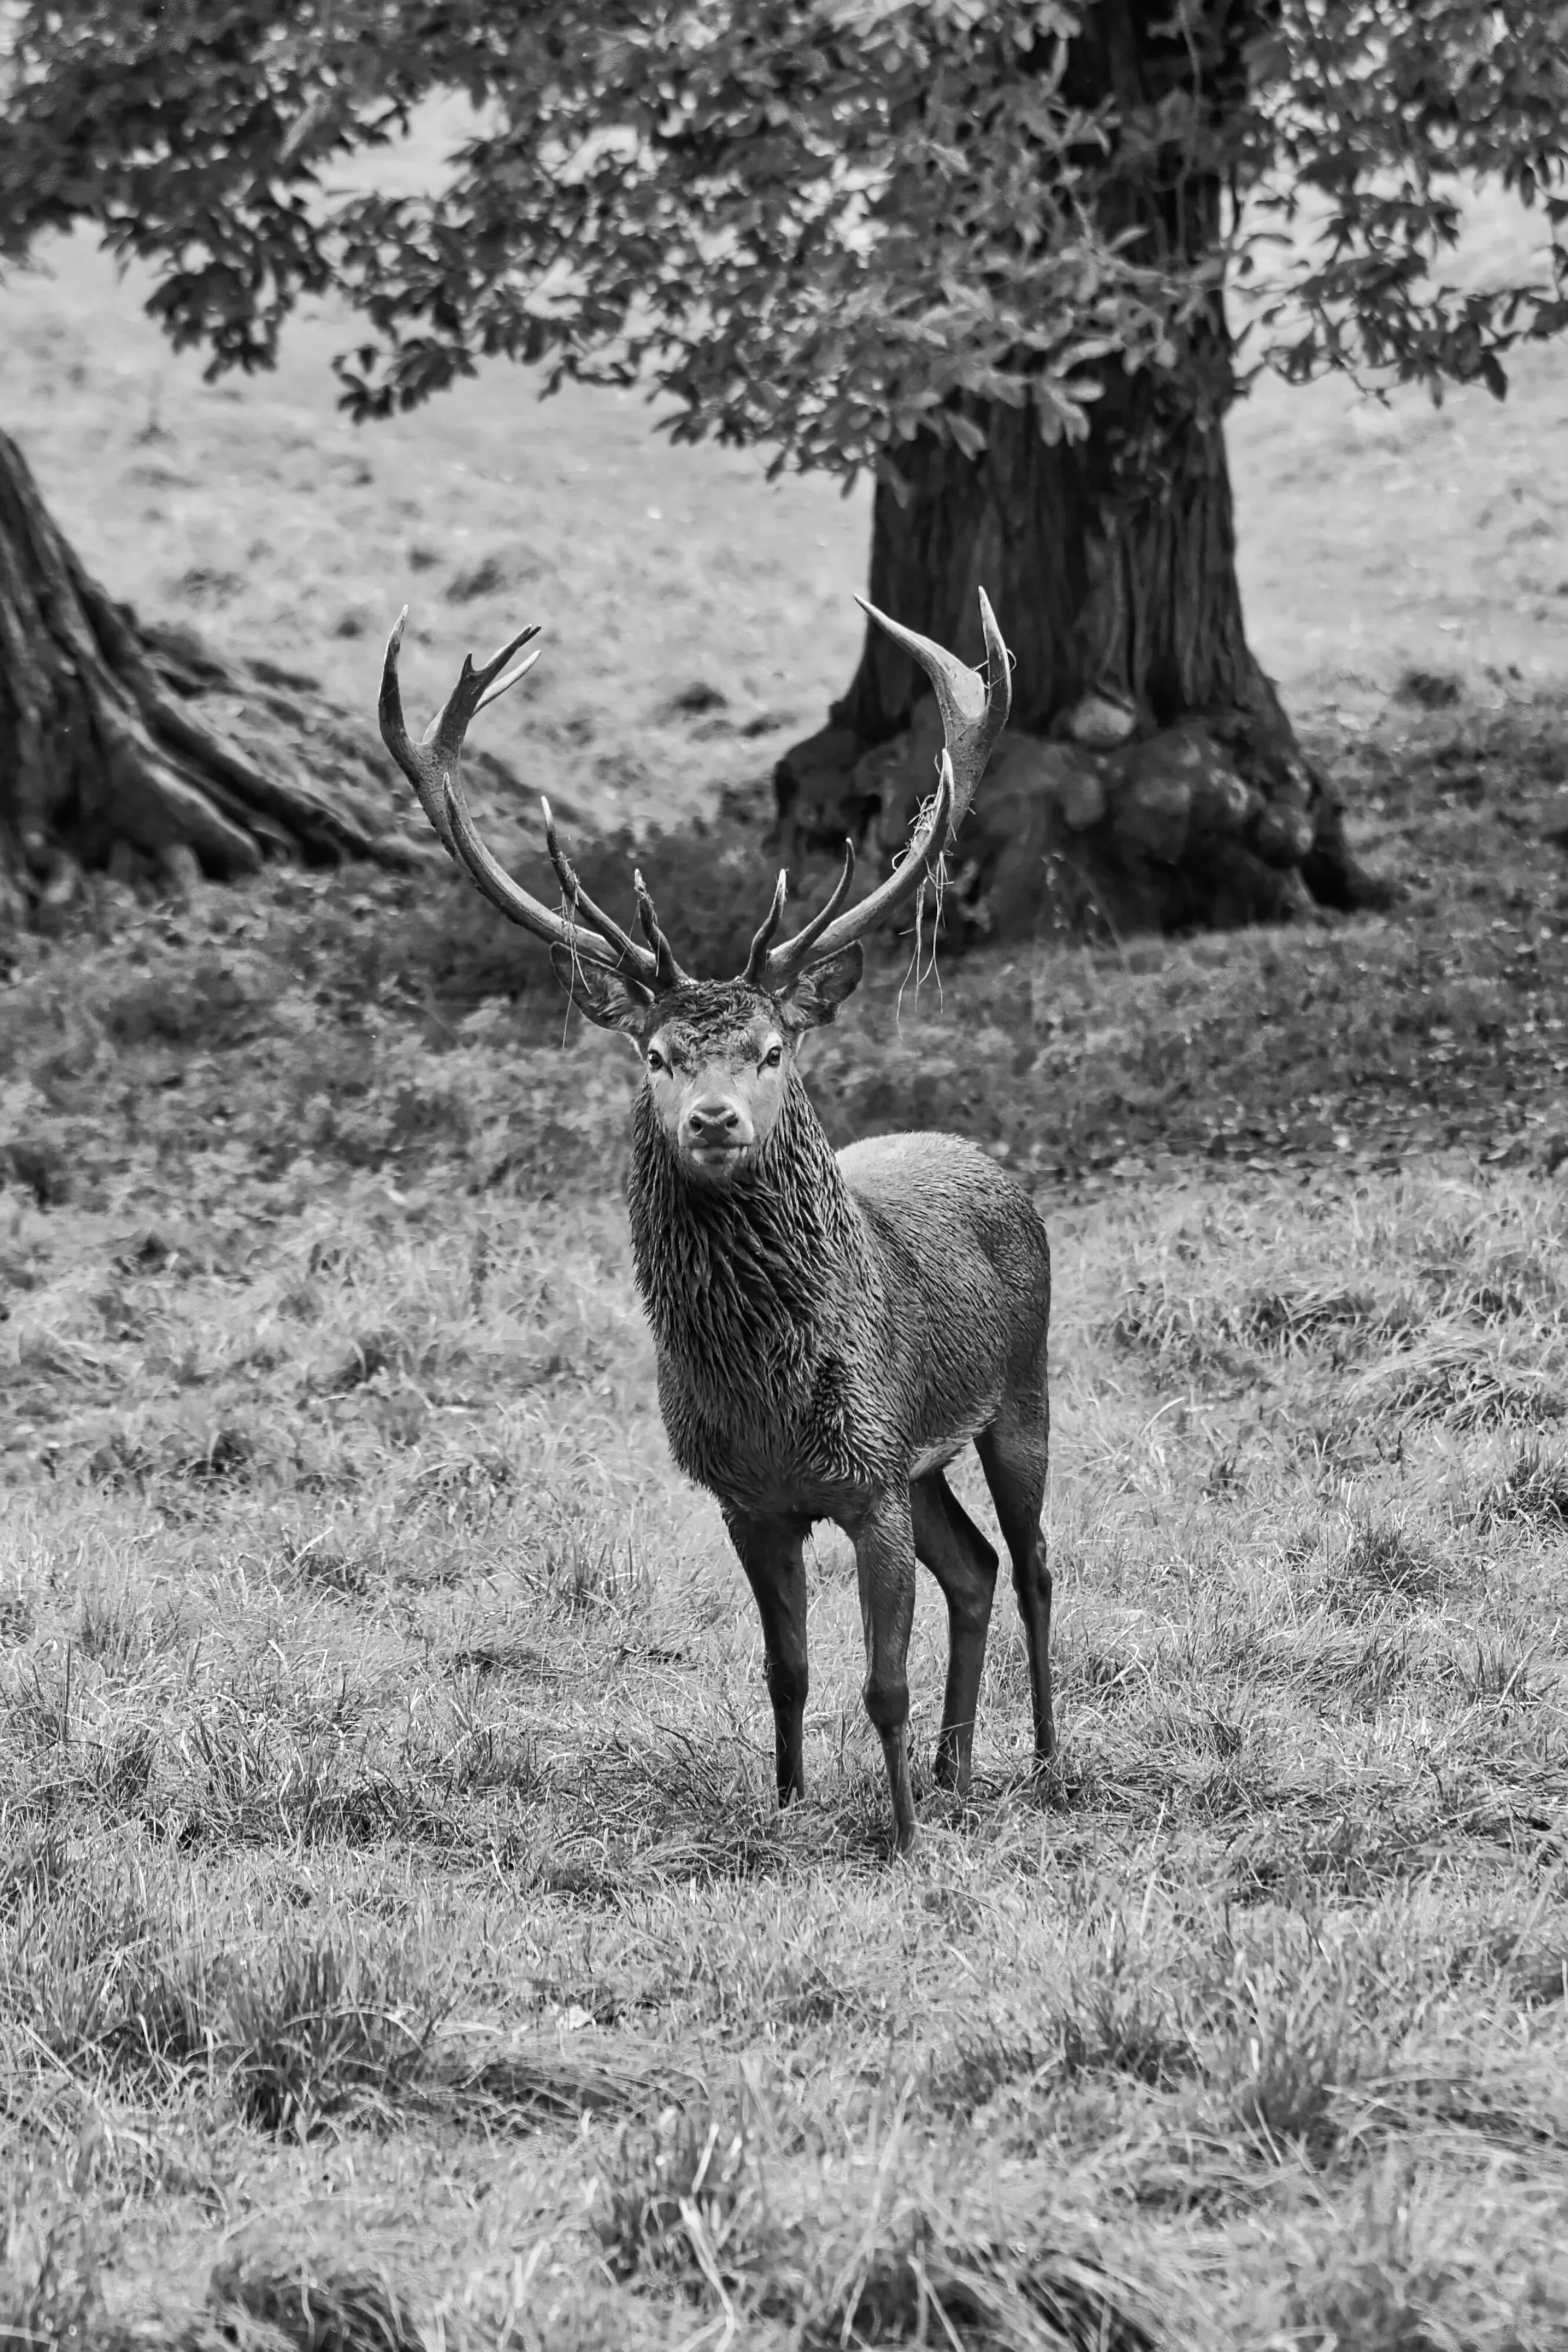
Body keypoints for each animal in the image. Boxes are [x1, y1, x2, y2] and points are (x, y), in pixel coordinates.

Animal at [377, 591, 1052, 1855]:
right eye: (654, 1054)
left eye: (772, 1048)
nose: (713, 1119)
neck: (768, 1399)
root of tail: (985, 1158)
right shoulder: (757, 1501)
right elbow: (786, 1671)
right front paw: (788, 1807)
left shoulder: (868, 1478)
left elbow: (877, 1681)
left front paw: (896, 1839)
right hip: (927, 1455)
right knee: (977, 1568)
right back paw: (956, 1768)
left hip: (1022, 1388)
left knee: (1032, 1560)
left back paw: (1039, 1753)